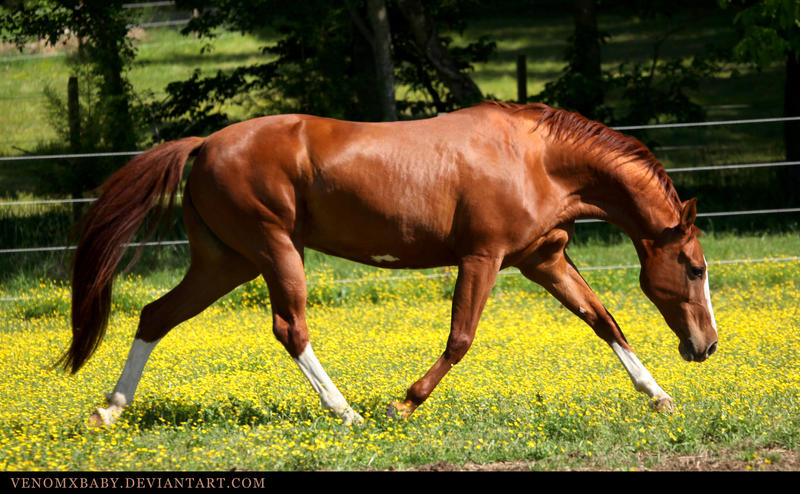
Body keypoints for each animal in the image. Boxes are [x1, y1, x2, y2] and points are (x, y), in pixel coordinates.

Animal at [62, 101, 720, 424]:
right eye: (694, 267)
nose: (706, 347)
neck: (539, 158)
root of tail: (202, 146)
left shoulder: (543, 259)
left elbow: (604, 321)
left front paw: (658, 396)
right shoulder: (482, 257)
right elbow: (460, 338)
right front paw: (402, 404)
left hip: (226, 262)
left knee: (155, 315)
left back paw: (108, 412)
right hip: (273, 250)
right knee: (290, 328)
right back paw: (348, 413)